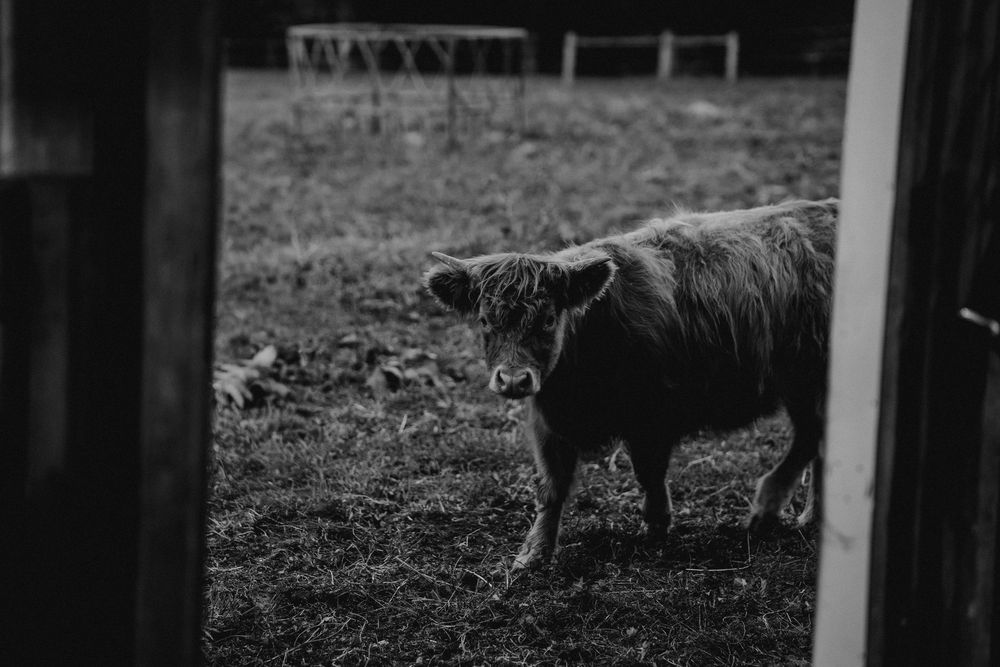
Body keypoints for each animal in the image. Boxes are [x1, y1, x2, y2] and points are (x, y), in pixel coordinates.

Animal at [423, 199, 837, 569]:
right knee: (818, 443)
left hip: (806, 377)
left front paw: (656, 526)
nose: (513, 379)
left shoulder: (652, 417)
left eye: (548, 319)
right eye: (484, 320)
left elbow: (649, 473)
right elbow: (551, 488)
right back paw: (811, 516)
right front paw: (533, 554)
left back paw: (766, 509)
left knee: (810, 436)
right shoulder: (548, 423)